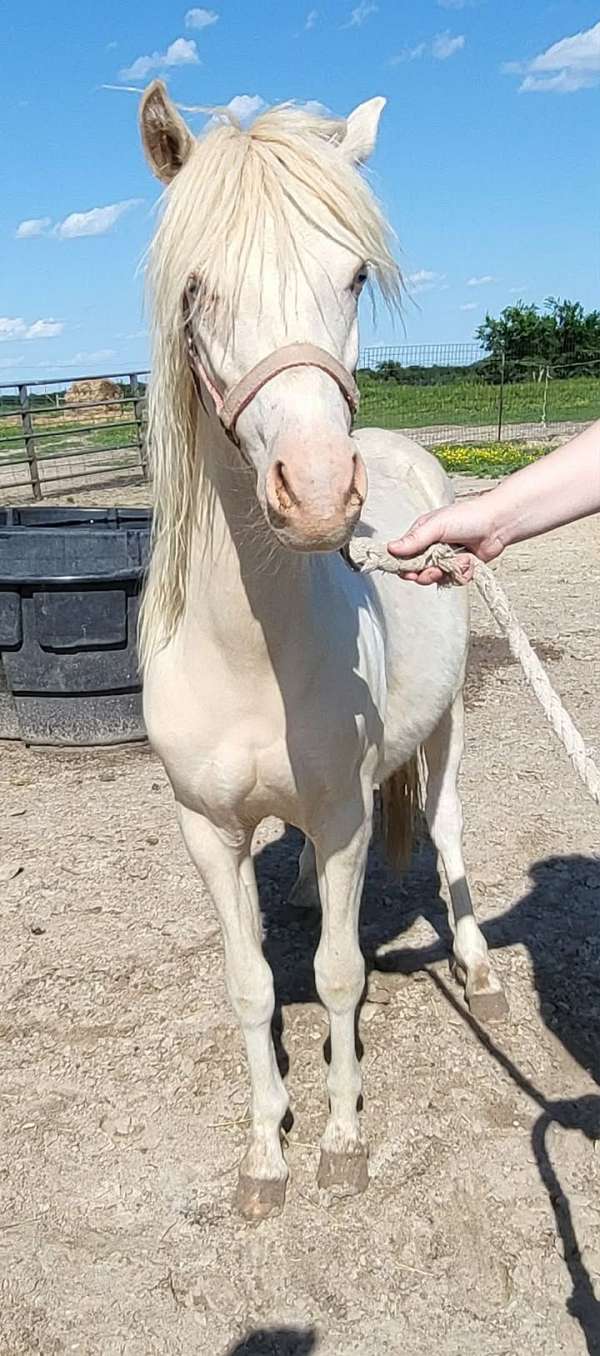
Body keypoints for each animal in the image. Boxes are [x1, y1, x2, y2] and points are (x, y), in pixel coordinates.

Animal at [138, 80, 507, 1221]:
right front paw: (267, 1151)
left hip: (444, 737)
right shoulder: (207, 830)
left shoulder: (348, 816)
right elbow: (251, 984)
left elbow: (342, 973)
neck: (250, 649)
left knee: (449, 833)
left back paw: (479, 968)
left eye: (349, 275)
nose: (315, 491)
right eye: (196, 287)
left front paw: (343, 1138)